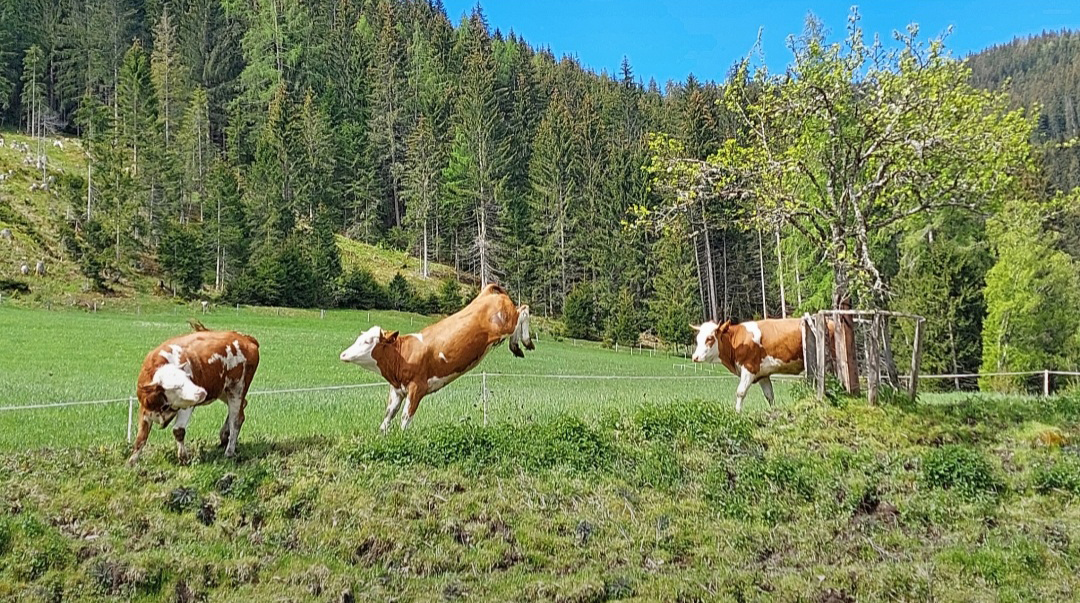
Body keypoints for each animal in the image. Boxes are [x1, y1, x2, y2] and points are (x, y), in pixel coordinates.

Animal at [125, 324, 259, 464]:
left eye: (189, 378)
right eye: (176, 386)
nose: (201, 392)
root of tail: (246, 338)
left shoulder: (187, 404)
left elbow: (178, 430)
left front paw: (184, 458)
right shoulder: (145, 408)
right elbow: (141, 437)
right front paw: (131, 462)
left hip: (237, 389)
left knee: (236, 419)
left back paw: (229, 451)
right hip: (223, 390)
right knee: (243, 406)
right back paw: (224, 436)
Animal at [336, 285, 531, 432]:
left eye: (367, 341)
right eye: (359, 338)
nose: (343, 354)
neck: (403, 354)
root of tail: (488, 292)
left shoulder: (417, 387)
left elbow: (406, 417)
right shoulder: (397, 390)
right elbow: (388, 416)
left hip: (506, 324)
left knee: (523, 310)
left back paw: (522, 342)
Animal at [691, 319, 825, 412]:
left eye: (709, 338)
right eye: (697, 339)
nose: (695, 357)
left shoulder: (749, 368)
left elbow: (740, 392)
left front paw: (737, 413)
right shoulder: (762, 375)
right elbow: (769, 395)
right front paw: (773, 410)